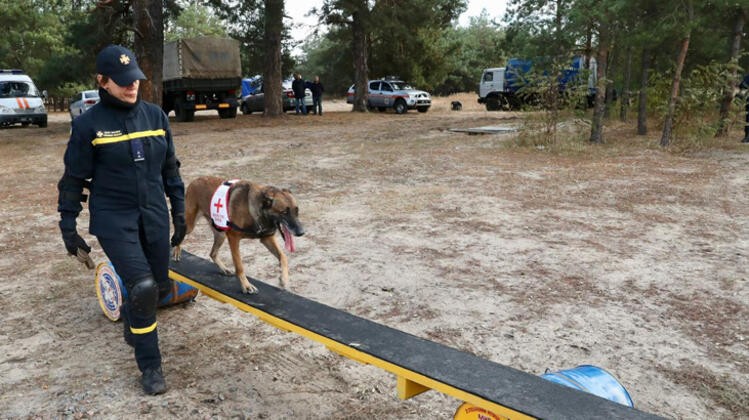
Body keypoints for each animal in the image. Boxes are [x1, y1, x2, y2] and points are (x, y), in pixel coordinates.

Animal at [172, 176, 304, 294]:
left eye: (296, 211)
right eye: (284, 212)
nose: (301, 232)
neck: (254, 209)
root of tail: (196, 180)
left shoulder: (266, 238)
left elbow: (283, 257)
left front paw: (284, 279)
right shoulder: (234, 238)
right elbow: (239, 266)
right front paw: (246, 286)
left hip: (221, 235)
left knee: (212, 253)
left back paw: (224, 269)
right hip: (190, 226)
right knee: (179, 234)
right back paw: (176, 250)